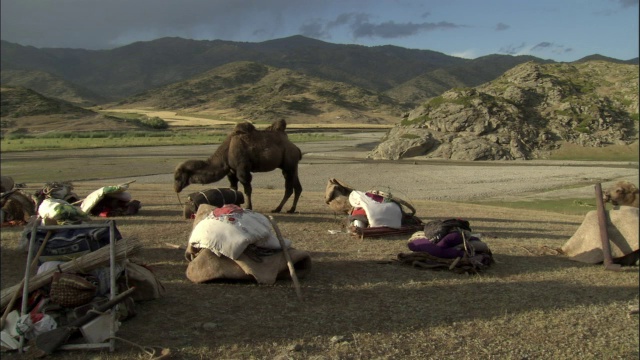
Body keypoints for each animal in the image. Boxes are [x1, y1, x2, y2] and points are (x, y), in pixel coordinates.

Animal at [174, 119, 304, 212]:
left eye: (177, 177)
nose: (176, 188)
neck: (226, 152)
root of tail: (296, 149)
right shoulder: (231, 171)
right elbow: (233, 188)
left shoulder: (242, 168)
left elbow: (247, 189)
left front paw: (248, 207)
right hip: (293, 166)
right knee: (297, 187)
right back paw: (291, 209)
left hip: (288, 164)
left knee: (289, 188)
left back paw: (278, 209)